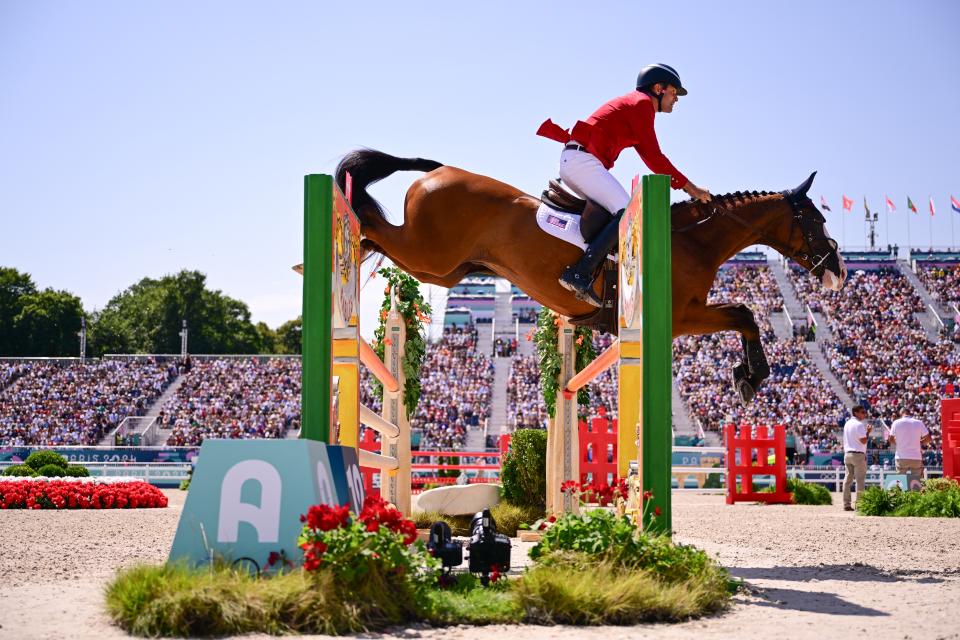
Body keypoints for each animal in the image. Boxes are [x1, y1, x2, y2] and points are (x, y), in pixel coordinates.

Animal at [334, 149, 844, 404]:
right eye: (817, 220)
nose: (837, 273)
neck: (691, 240)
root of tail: (437, 170)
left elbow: (743, 313)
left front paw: (746, 375)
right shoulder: (682, 317)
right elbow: (743, 312)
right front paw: (751, 376)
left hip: (443, 267)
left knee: (383, 238)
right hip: (432, 255)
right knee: (376, 227)